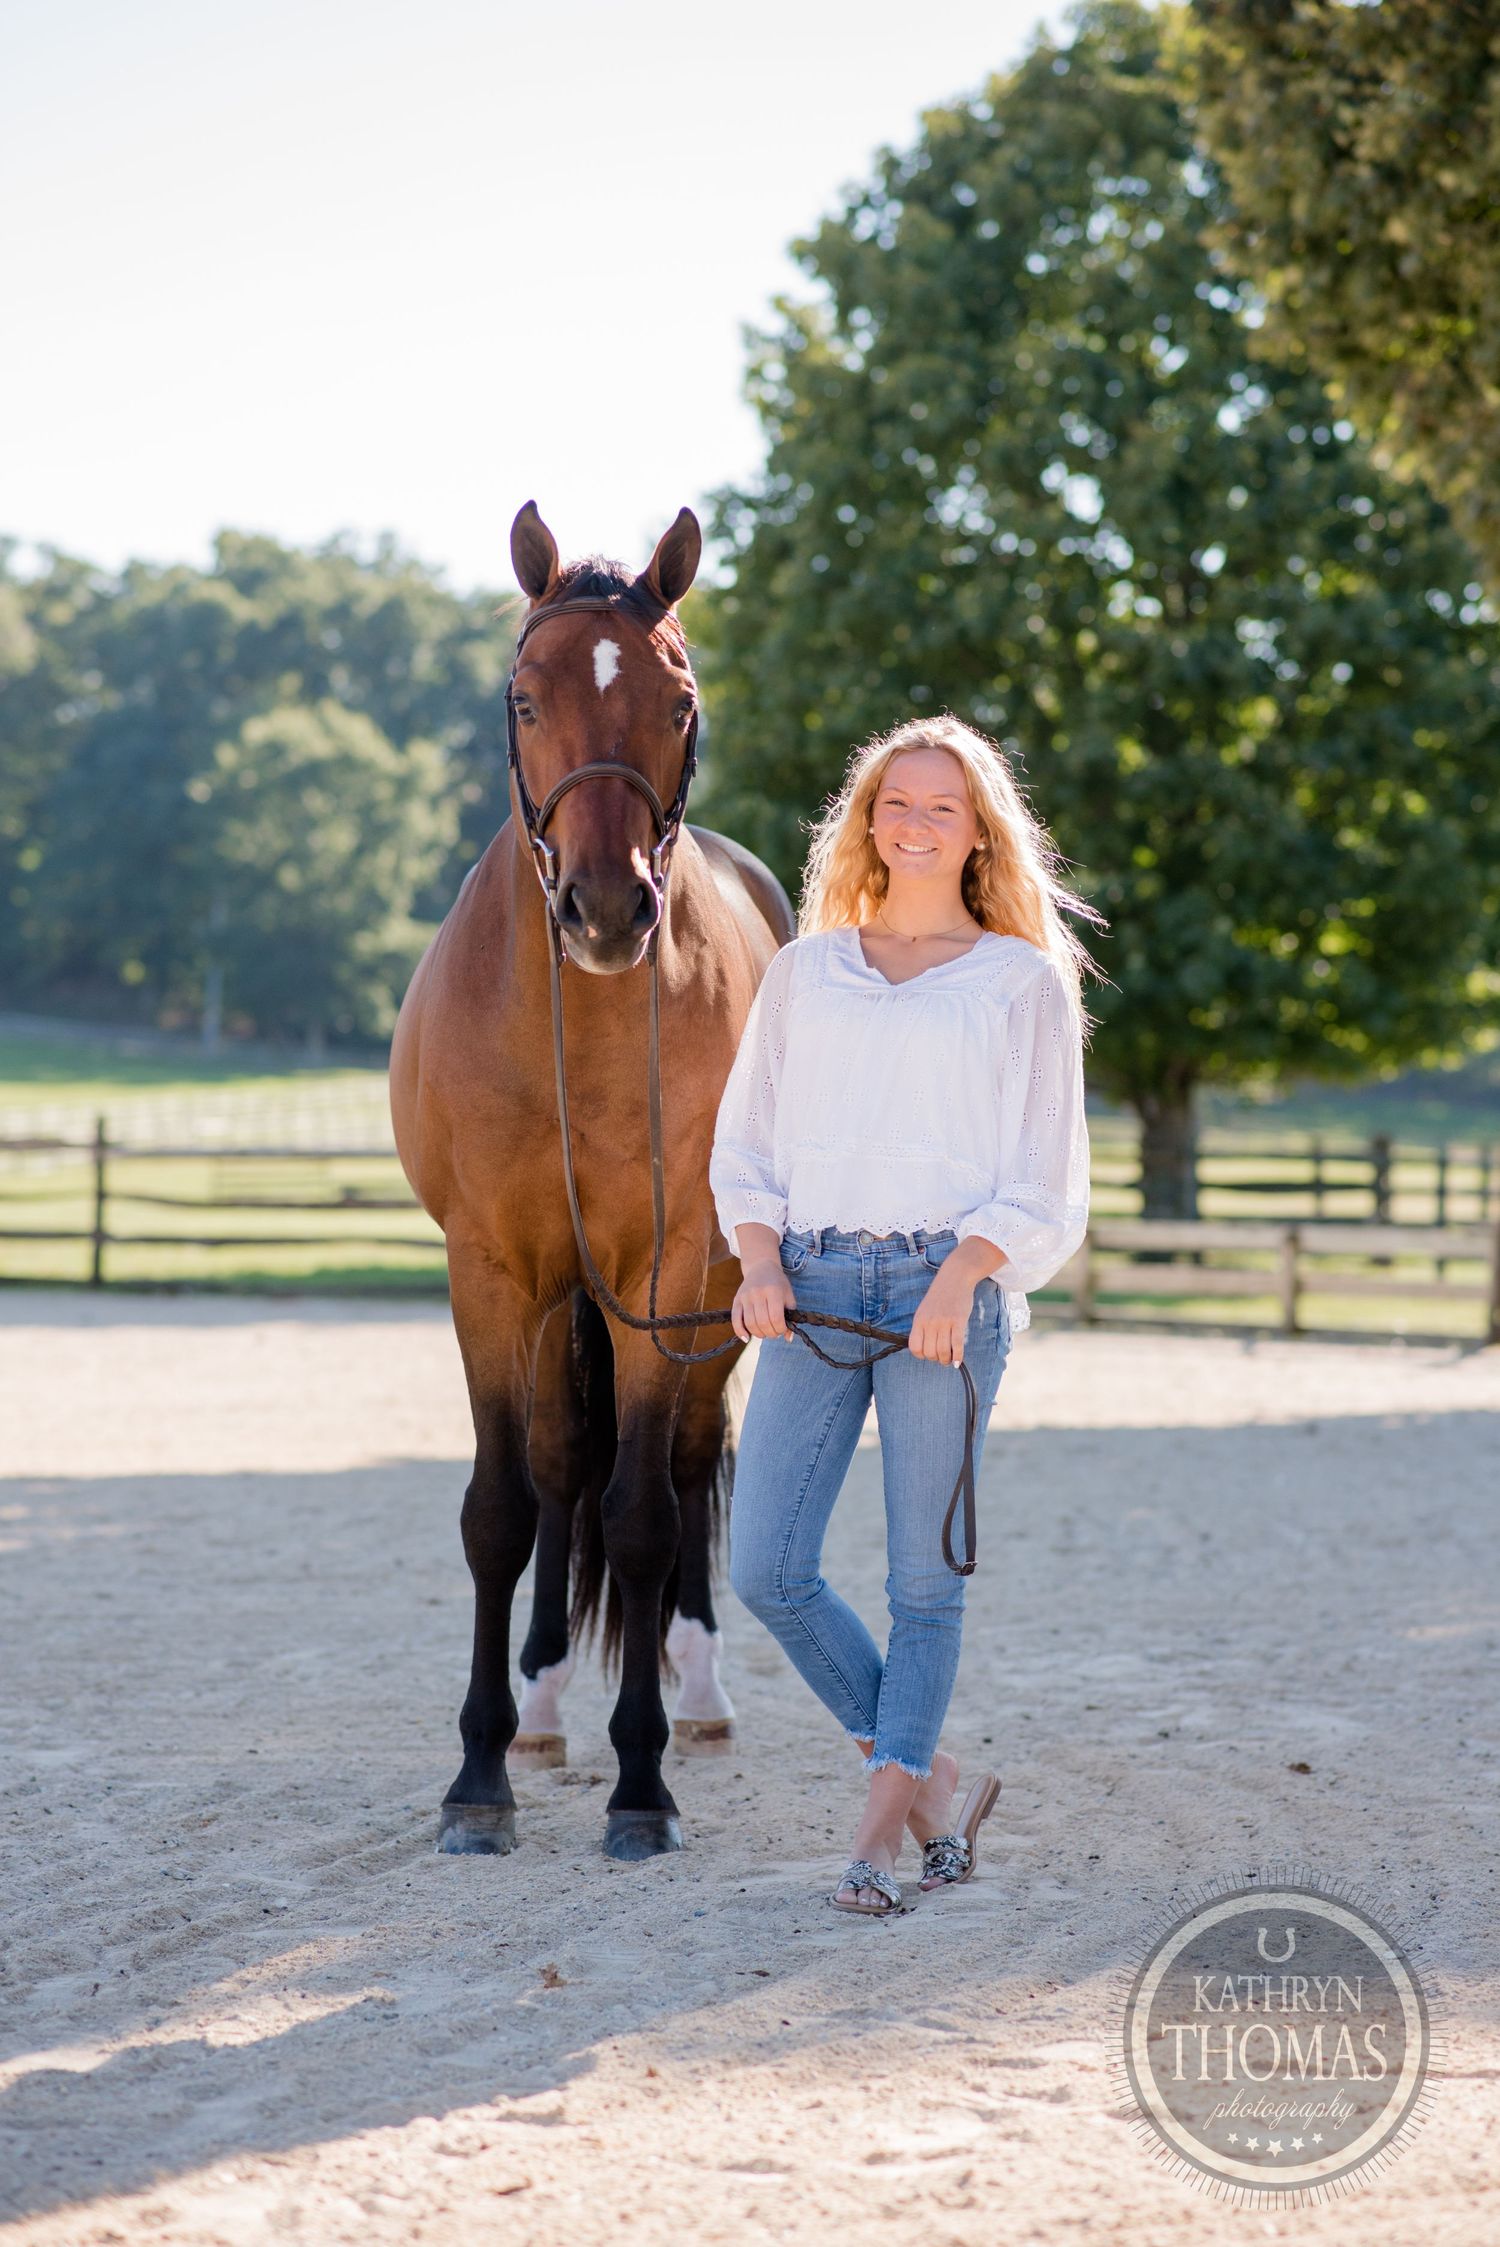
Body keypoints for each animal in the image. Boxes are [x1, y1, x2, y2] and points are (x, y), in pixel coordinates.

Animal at [389, 500, 793, 1860]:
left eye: (679, 701)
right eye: (525, 698)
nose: (608, 909)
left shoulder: (665, 1277)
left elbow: (645, 1516)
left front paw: (642, 1780)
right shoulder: (491, 1272)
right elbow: (504, 1510)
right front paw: (479, 1773)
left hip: (700, 1301)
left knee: (683, 1467)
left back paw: (697, 1691)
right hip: (564, 1297)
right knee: (564, 1469)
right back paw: (547, 1705)